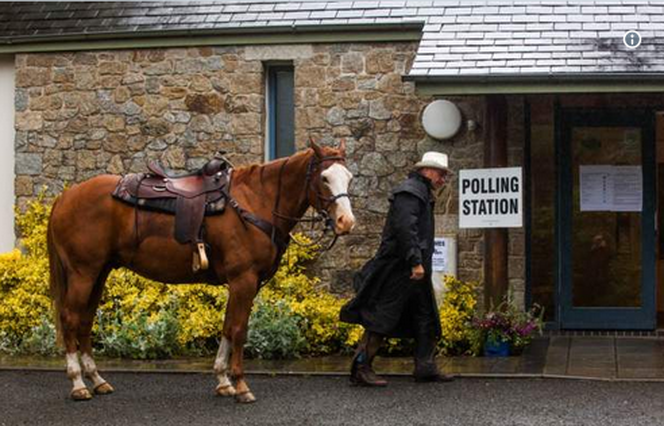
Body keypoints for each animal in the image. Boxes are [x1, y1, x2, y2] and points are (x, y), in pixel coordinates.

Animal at [47, 141, 356, 404]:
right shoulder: (243, 280)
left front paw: (223, 381)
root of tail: (66, 196)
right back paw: (78, 383)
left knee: (85, 321)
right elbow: (239, 330)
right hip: (83, 272)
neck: (256, 200)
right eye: (324, 178)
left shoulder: (243, 284)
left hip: (99, 272)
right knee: (70, 319)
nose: (346, 222)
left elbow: (228, 328)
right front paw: (241, 385)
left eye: (349, 177)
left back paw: (97, 380)